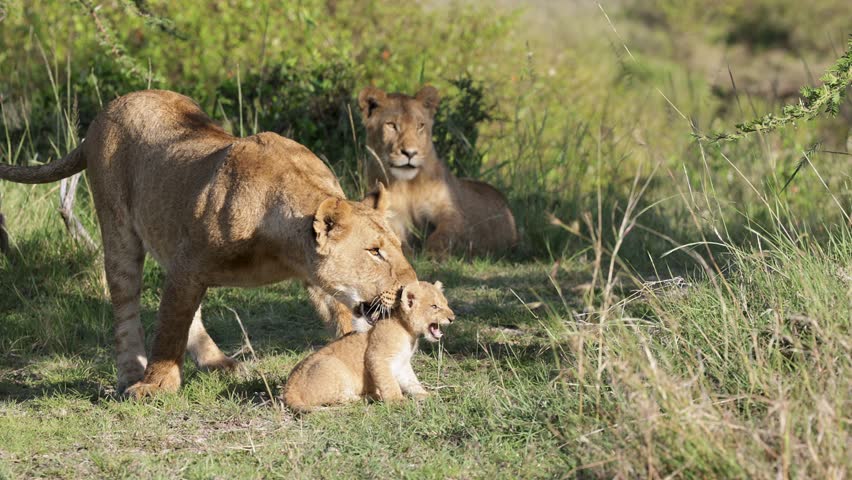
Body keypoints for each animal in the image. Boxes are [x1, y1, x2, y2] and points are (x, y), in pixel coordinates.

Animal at [0, 90, 416, 398]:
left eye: (397, 247)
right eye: (374, 251)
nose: (410, 288)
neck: (281, 247)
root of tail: (111, 108)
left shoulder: (309, 274)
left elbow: (341, 314)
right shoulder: (188, 264)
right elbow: (169, 328)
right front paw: (155, 385)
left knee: (189, 310)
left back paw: (218, 363)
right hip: (118, 228)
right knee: (126, 305)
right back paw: (130, 374)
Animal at [282, 280, 454, 412]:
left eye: (446, 304)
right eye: (434, 307)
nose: (452, 318)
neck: (409, 333)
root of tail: (288, 389)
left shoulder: (402, 363)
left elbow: (411, 382)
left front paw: (426, 395)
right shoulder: (377, 357)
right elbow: (388, 383)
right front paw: (398, 401)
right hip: (332, 366)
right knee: (340, 399)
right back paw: (372, 396)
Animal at [358, 85, 517, 257]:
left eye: (420, 126)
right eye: (391, 125)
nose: (410, 153)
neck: (408, 185)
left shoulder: (452, 212)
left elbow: (443, 234)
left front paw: (432, 254)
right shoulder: (392, 215)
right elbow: (394, 236)